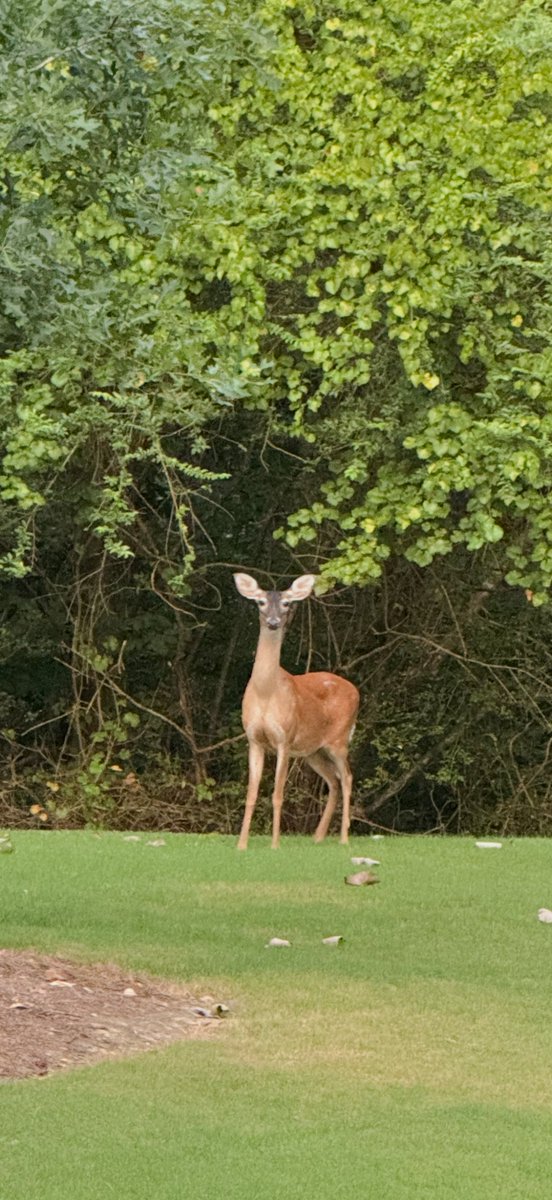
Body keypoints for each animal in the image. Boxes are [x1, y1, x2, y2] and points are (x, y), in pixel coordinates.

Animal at [233, 572, 360, 850]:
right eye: (260, 602)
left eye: (287, 603)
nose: (273, 622)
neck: (266, 693)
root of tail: (355, 690)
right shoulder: (254, 739)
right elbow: (251, 793)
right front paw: (241, 845)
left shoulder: (285, 739)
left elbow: (278, 793)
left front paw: (275, 844)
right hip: (313, 751)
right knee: (333, 780)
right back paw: (318, 836)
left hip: (339, 739)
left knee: (346, 777)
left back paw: (344, 838)